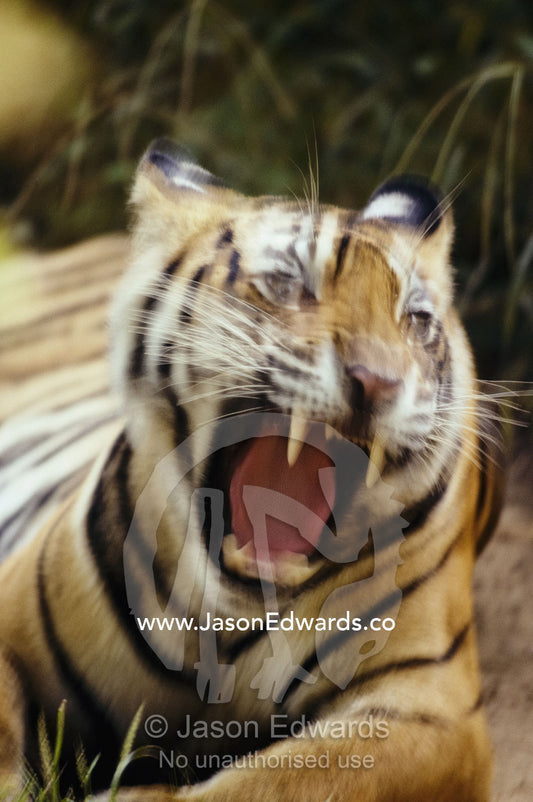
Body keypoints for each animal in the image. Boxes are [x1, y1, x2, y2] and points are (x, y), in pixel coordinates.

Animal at [0, 138, 504, 802]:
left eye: (416, 321)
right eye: (288, 282)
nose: (377, 380)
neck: (229, 621)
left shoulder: (432, 710)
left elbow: (287, 781)